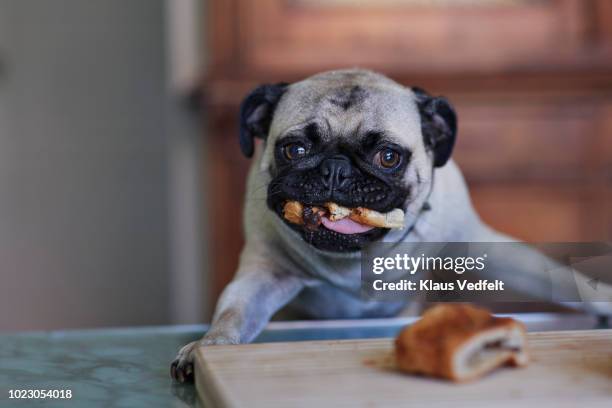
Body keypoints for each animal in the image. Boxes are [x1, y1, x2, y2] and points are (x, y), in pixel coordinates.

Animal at [171, 67, 612, 382]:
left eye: (388, 157)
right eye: (294, 150)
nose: (335, 169)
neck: (358, 257)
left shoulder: (487, 250)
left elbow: (559, 279)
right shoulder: (265, 273)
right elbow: (233, 312)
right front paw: (208, 345)